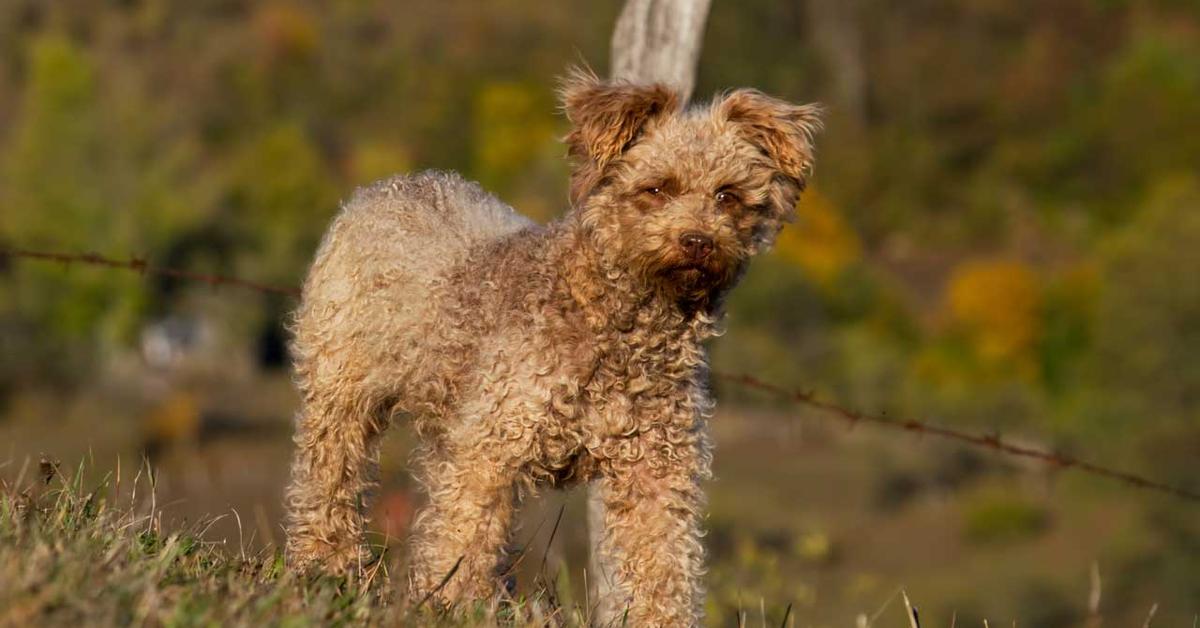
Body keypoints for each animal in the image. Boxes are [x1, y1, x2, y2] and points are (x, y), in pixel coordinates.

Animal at [285, 66, 820, 624]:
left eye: (727, 196)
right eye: (655, 189)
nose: (698, 242)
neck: (617, 328)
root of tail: (390, 185)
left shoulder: (658, 469)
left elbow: (664, 565)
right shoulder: (489, 449)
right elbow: (462, 537)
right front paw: (451, 608)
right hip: (342, 393)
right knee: (328, 480)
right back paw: (324, 566)